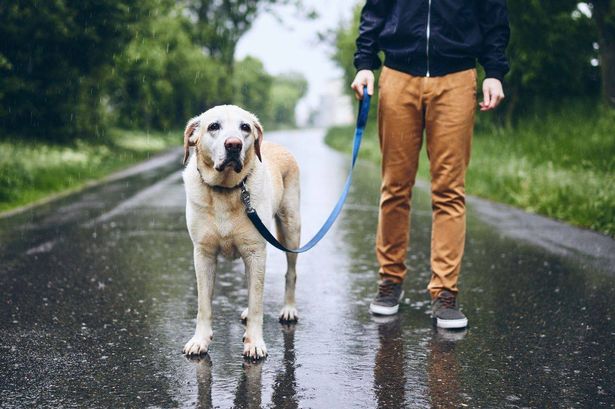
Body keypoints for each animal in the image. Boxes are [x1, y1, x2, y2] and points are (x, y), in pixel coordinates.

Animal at [180, 104, 300, 356]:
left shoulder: (255, 252)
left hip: (291, 229)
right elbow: (203, 304)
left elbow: (257, 304)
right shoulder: (203, 253)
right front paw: (200, 339)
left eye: (245, 127)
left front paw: (254, 342)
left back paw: (288, 309)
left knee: (290, 273)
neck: (225, 190)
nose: (234, 145)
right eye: (213, 126)